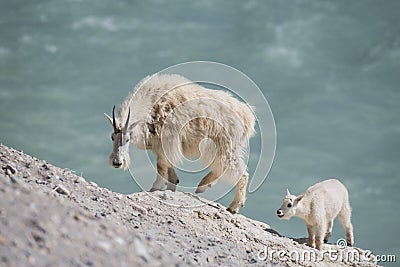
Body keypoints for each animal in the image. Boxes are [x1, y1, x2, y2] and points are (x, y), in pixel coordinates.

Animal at [105, 74, 256, 216]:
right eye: (112, 137)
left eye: (128, 139)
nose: (117, 163)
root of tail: (247, 116)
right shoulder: (162, 146)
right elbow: (168, 166)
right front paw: (172, 185)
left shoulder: (167, 141)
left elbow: (161, 166)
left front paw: (155, 188)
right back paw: (203, 186)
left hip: (223, 146)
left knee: (240, 173)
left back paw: (233, 206)